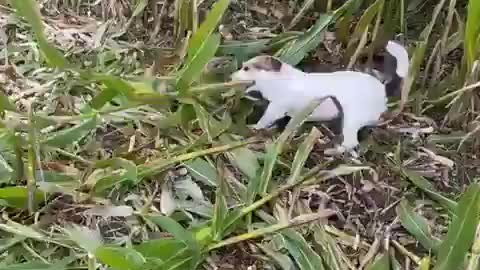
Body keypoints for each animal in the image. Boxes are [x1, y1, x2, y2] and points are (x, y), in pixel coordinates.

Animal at [231, 41, 410, 153]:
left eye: (246, 68)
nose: (231, 76)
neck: (281, 80)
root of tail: (382, 88)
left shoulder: (276, 108)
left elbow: (264, 120)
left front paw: (255, 128)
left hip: (351, 119)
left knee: (351, 142)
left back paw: (334, 151)